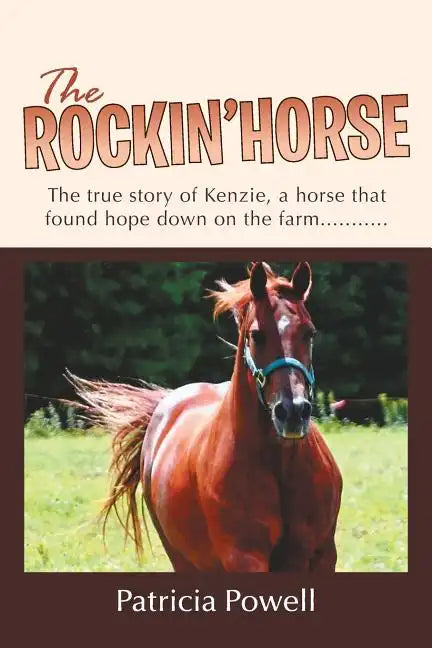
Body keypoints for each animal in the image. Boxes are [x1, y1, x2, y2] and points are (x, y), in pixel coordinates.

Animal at [70, 261, 342, 572]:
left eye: (309, 333)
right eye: (256, 335)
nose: (293, 411)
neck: (279, 465)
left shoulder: (322, 555)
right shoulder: (244, 558)